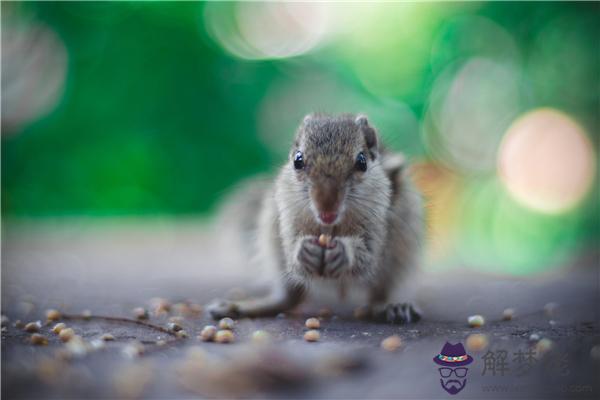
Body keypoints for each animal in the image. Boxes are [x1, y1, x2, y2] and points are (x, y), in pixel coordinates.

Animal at [209, 111, 424, 322]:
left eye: (362, 162)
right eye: (298, 160)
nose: (326, 204)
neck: (330, 228)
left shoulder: (378, 226)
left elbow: (367, 257)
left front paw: (343, 253)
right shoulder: (287, 220)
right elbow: (292, 254)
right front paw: (304, 251)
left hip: (399, 253)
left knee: (380, 293)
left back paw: (392, 306)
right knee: (289, 297)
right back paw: (244, 307)